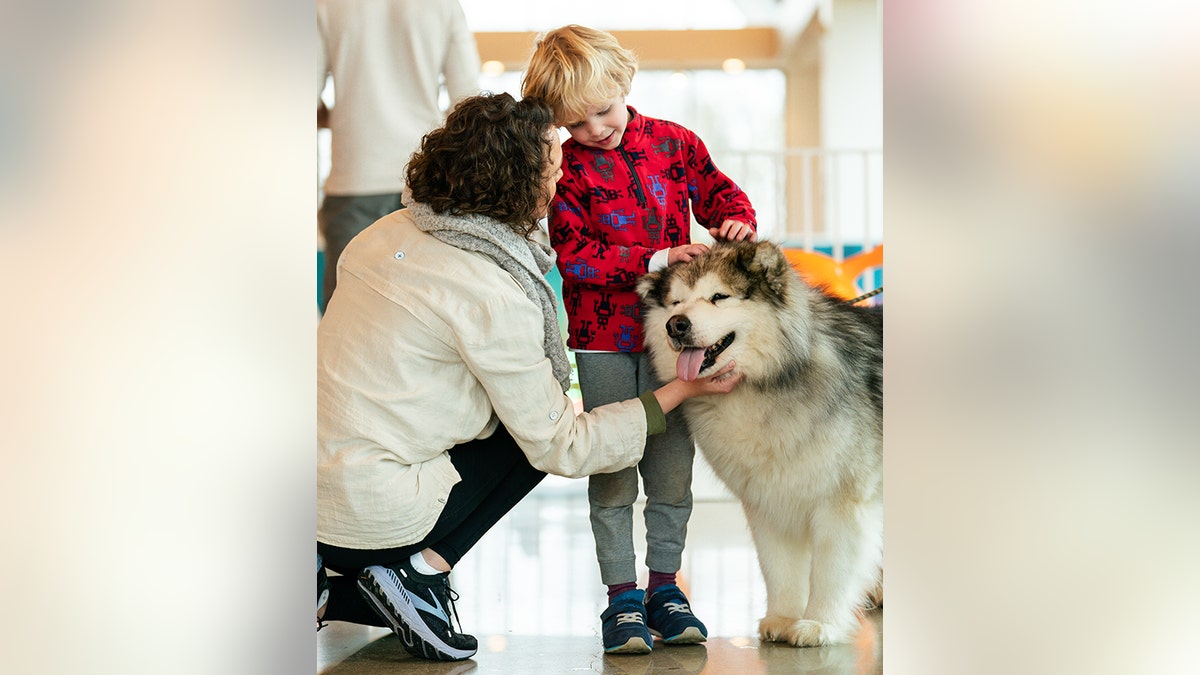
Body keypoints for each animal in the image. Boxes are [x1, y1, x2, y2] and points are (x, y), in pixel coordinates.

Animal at [638, 240, 883, 648]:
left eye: (718, 297)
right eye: (675, 303)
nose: (677, 324)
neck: (769, 380)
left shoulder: (843, 504)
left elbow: (831, 570)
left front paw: (820, 623)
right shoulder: (769, 499)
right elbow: (779, 567)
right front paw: (783, 619)